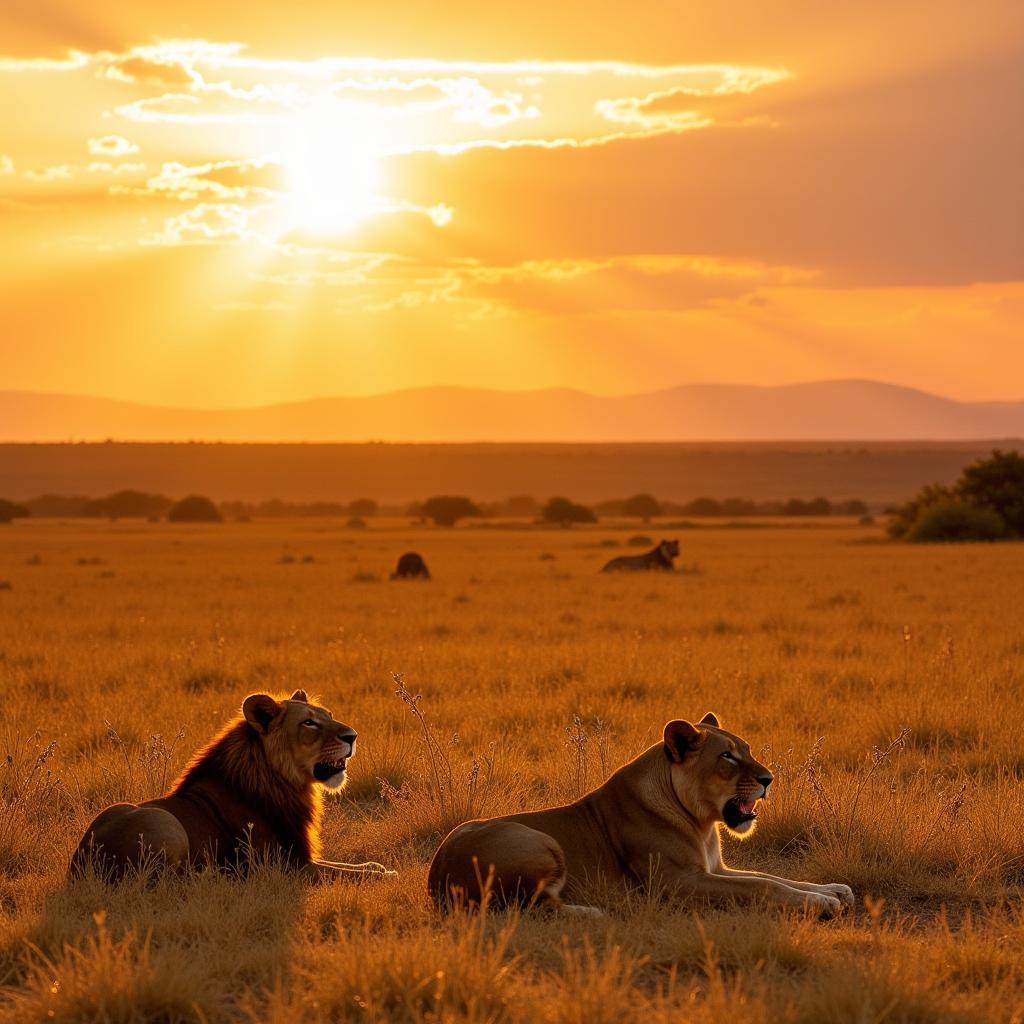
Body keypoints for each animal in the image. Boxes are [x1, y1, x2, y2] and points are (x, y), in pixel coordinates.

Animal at [68, 692, 393, 884]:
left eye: (328, 715)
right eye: (309, 723)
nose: (353, 736)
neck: (284, 782)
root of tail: (80, 868)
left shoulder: (298, 854)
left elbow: (354, 867)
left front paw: (377, 866)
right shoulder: (283, 866)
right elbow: (345, 874)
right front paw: (390, 874)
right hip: (162, 821)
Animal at [428, 712, 851, 921]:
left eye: (746, 750)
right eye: (728, 757)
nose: (769, 779)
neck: (701, 822)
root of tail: (436, 879)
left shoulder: (714, 869)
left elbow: (772, 876)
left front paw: (832, 890)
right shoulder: (677, 884)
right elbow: (762, 887)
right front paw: (823, 904)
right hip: (541, 842)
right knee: (533, 907)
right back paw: (594, 911)